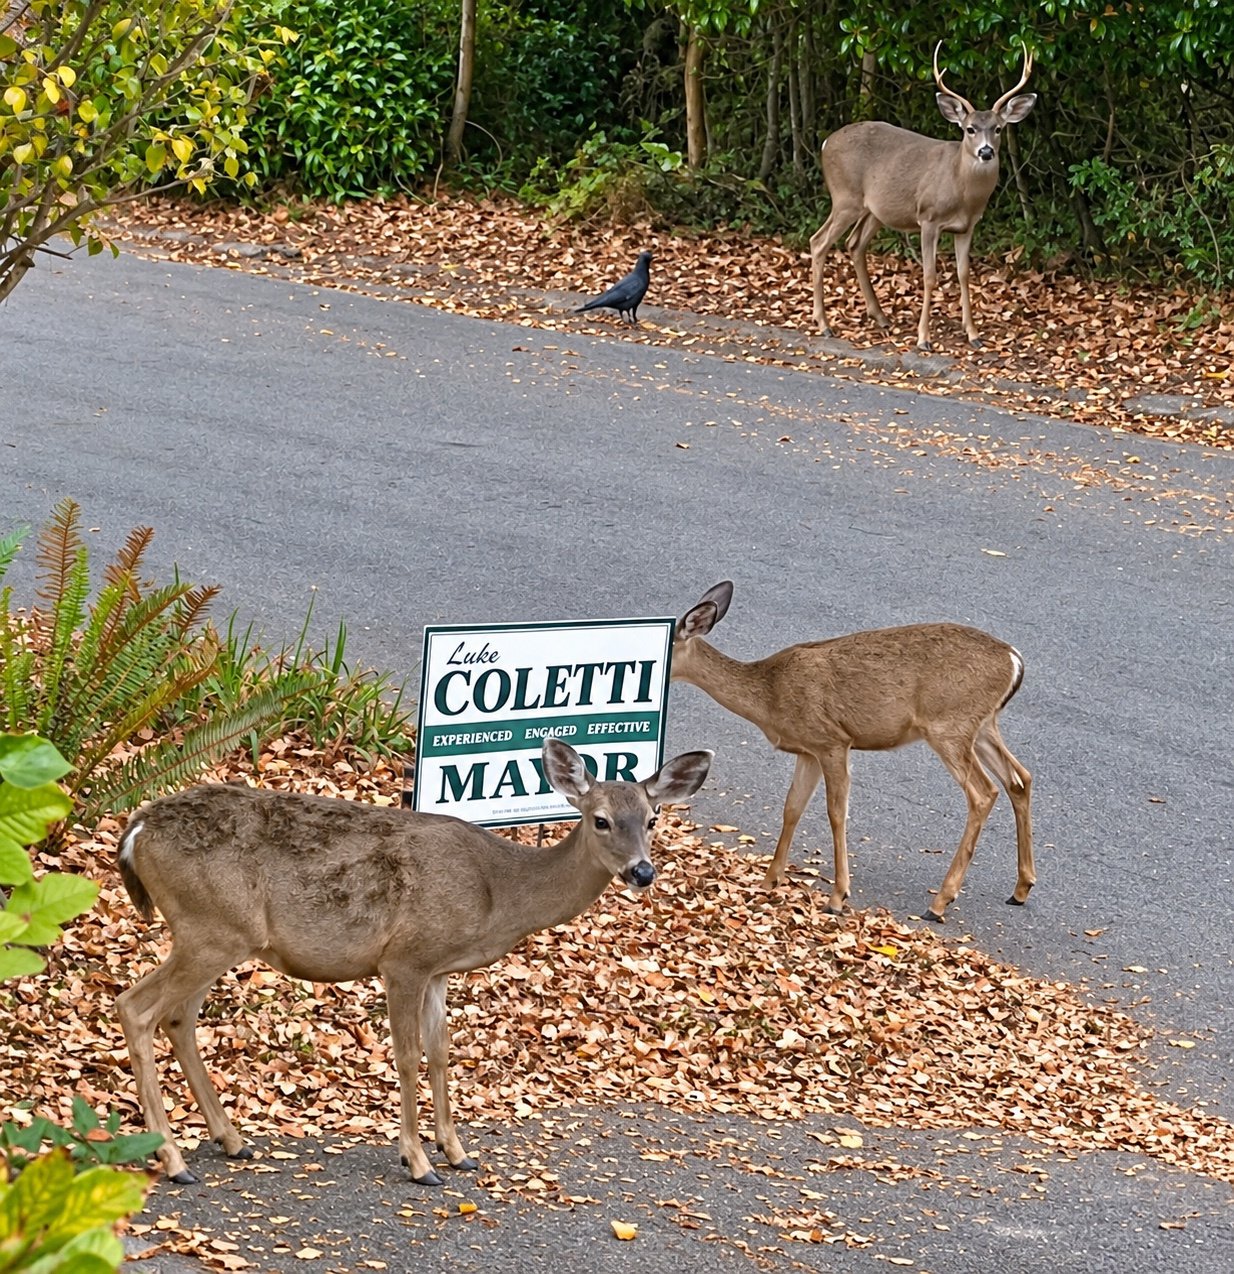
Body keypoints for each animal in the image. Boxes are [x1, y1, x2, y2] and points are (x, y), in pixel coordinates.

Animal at [115, 737, 711, 1186]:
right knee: (136, 1007)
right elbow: (406, 1057)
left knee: (178, 1017)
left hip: (215, 934)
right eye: (601, 820)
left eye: (653, 818)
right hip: (212, 927)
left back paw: (231, 1139)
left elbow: (441, 1052)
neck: (497, 891)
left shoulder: (440, 968)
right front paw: (419, 1161)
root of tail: (136, 830)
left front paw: (457, 1151)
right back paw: (174, 1160)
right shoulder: (405, 958)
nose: (642, 872)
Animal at [671, 582, 1033, 922]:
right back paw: (1020, 889)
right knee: (1019, 778)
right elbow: (792, 808)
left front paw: (837, 897)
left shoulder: (832, 741)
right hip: (982, 725)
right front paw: (769, 880)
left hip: (949, 725)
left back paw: (940, 902)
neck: (770, 696)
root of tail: (1015, 660)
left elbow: (836, 812)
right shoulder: (807, 750)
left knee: (984, 792)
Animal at [811, 40, 1036, 351]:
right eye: (970, 129)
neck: (962, 190)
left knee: (854, 244)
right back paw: (824, 324)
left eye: (999, 129)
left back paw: (880, 317)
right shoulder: (929, 218)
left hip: (874, 209)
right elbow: (929, 277)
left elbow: (964, 275)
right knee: (818, 242)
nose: (986, 151)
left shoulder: (967, 226)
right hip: (845, 197)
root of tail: (825, 143)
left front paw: (973, 335)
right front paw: (923, 338)